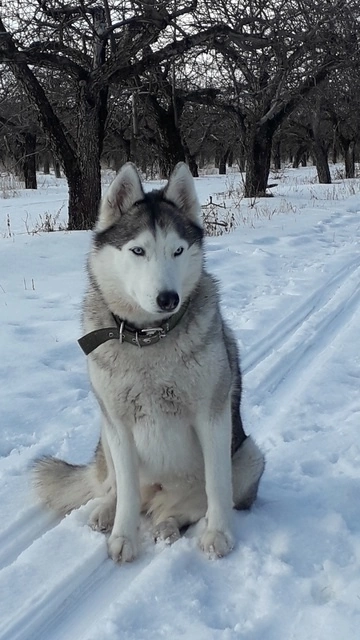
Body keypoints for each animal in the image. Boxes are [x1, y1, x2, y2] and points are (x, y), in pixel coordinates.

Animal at [33, 162, 264, 564]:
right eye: (138, 250)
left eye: (178, 250)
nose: (168, 298)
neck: (149, 339)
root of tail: (159, 496)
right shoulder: (119, 424)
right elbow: (125, 490)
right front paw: (123, 537)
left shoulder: (213, 417)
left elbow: (217, 487)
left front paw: (218, 534)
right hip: (105, 435)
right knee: (116, 488)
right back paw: (106, 511)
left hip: (250, 456)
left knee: (185, 508)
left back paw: (167, 526)